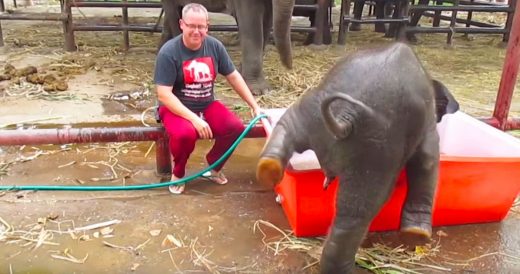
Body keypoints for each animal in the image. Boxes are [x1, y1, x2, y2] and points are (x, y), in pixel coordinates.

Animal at [158, 0, 294, 94]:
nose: (289, 67)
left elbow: (266, 22)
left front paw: (241, 74)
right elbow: (252, 25)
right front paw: (260, 91)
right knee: (174, 13)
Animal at [256, 41, 460, 272]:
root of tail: (346, 118)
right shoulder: (427, 130)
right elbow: (427, 162)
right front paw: (417, 235)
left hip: (311, 109)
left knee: (286, 126)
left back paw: (268, 170)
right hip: (376, 150)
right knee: (356, 213)